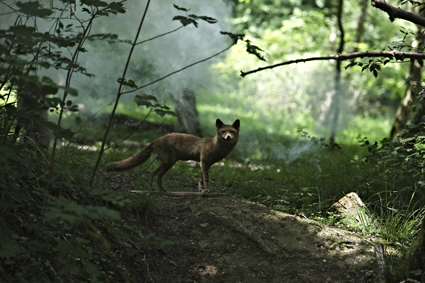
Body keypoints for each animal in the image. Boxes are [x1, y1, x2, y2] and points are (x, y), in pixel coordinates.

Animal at [104, 118, 240, 194]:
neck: (217, 148)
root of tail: (156, 140)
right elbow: (206, 179)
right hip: (169, 162)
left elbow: (201, 180)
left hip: (167, 162)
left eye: (232, 131)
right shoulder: (204, 161)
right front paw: (207, 190)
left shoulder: (207, 164)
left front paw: (202, 190)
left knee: (151, 173)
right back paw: (161, 190)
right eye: (223, 131)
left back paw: (150, 189)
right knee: (158, 175)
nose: (228, 137)